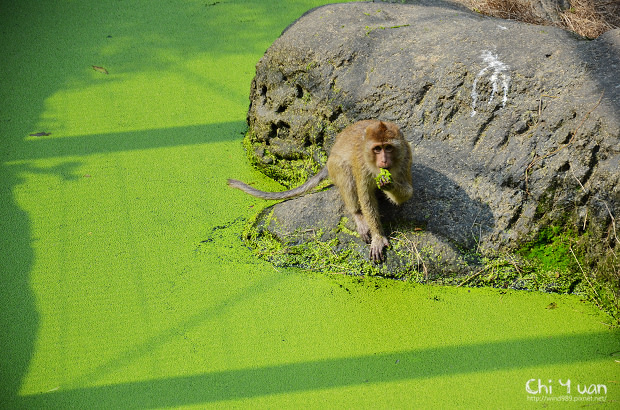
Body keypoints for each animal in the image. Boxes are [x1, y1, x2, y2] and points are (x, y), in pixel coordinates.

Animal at [228, 120, 412, 262]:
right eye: (377, 149)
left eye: (388, 148)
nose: (384, 160)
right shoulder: (361, 162)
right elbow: (365, 196)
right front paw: (377, 236)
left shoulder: (406, 156)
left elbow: (408, 193)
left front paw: (389, 184)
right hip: (334, 167)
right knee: (345, 172)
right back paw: (358, 215)